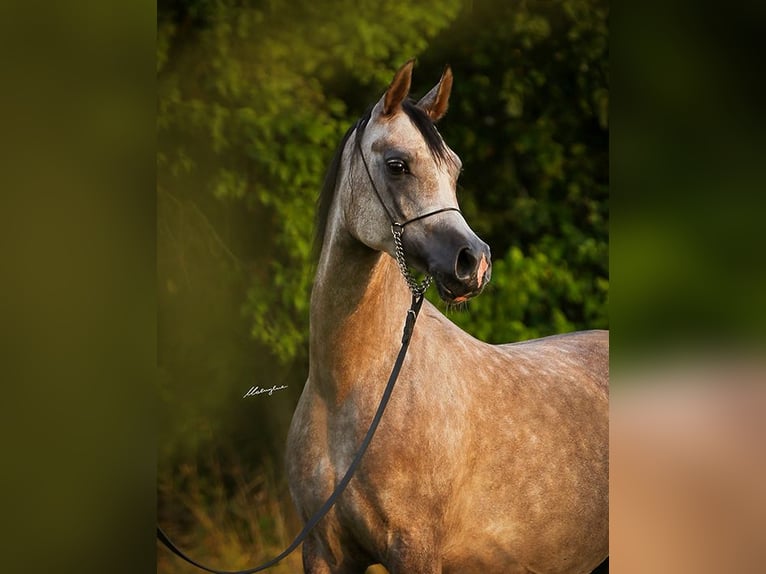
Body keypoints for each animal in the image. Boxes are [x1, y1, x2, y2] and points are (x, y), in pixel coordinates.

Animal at [284, 60, 608, 572]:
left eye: (454, 169)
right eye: (397, 165)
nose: (474, 262)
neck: (346, 388)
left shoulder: (414, 548)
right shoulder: (321, 551)